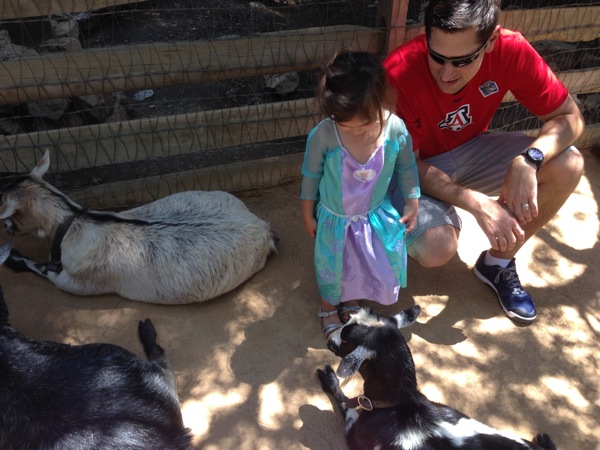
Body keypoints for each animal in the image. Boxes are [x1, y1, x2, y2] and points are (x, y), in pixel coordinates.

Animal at [0, 149, 276, 304]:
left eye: (9, 215)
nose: (7, 229)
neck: (75, 222)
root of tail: (261, 226)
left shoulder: (75, 281)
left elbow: (44, 270)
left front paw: (12, 257)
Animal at [318, 308, 556, 450]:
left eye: (346, 340)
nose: (329, 341)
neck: (398, 404)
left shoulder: (356, 436)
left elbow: (344, 405)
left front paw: (328, 378)